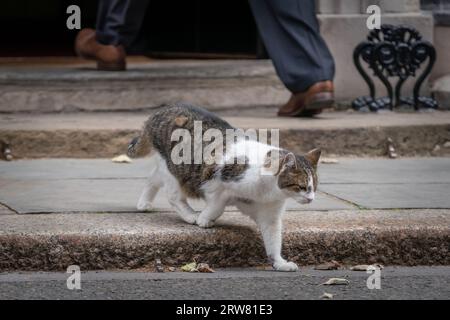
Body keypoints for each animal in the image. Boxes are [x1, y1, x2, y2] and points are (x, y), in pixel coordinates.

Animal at [128, 103, 322, 272]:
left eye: (314, 187)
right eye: (301, 186)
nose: (311, 199)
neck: (267, 192)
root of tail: (164, 109)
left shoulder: (270, 215)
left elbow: (273, 240)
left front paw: (280, 263)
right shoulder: (215, 179)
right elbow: (217, 204)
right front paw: (204, 219)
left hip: (167, 169)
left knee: (153, 178)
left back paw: (144, 203)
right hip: (174, 171)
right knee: (173, 196)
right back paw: (190, 215)